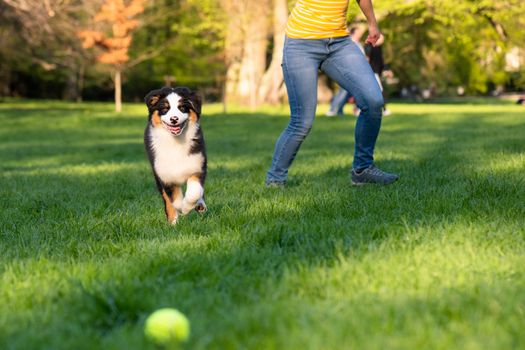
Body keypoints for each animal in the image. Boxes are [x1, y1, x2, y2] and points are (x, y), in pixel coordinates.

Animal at [145, 86, 209, 226]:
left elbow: (195, 191)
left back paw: (200, 206)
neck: (177, 141)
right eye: (165, 109)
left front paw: (187, 207)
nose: (174, 119)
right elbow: (173, 199)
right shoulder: (165, 175)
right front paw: (180, 212)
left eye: (182, 108)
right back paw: (173, 222)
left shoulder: (197, 165)